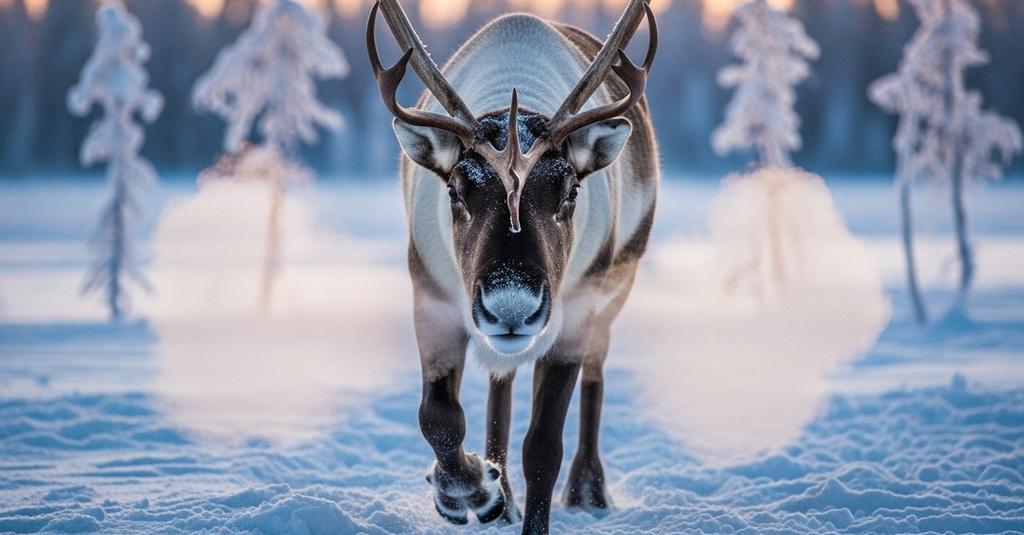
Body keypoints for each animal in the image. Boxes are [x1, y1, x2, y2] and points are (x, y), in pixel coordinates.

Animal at [366, 1, 658, 532]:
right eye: (455, 190)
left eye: (570, 191)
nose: (511, 308)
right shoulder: (432, 297)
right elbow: (438, 416)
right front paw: (472, 492)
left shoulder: (575, 313)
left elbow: (543, 447)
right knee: (498, 386)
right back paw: (501, 497)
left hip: (615, 292)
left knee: (596, 374)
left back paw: (589, 489)